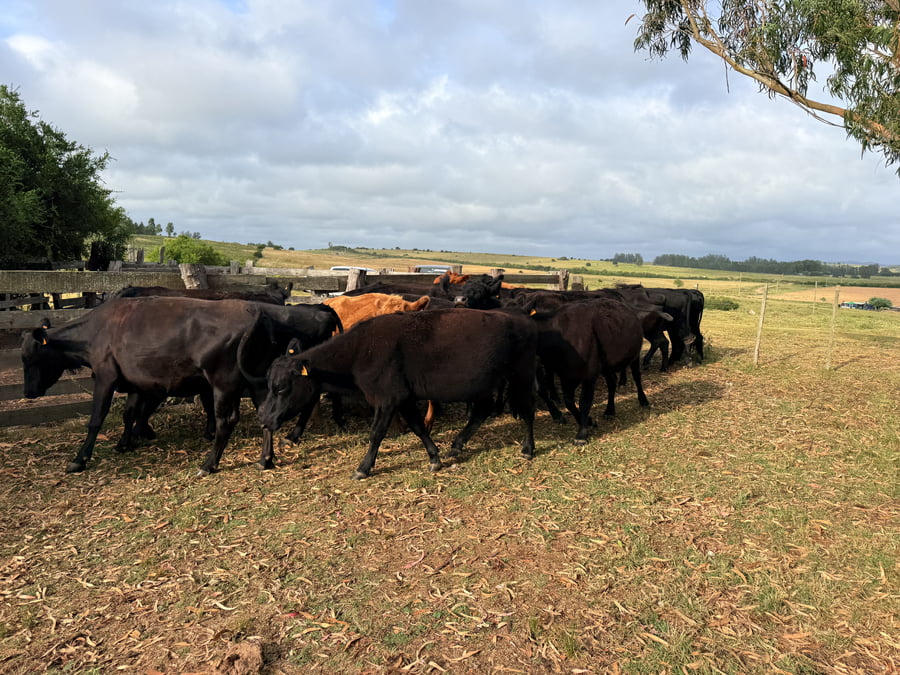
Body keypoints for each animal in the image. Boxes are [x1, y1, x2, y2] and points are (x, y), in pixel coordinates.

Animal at [255, 308, 538, 479]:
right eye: (268, 385)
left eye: (281, 388)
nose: (264, 419)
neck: (360, 352)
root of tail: (523, 320)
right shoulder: (404, 398)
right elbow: (418, 427)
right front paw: (434, 457)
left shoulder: (387, 399)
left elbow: (376, 433)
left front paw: (363, 468)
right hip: (484, 384)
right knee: (482, 411)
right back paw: (456, 445)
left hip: (522, 375)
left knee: (528, 410)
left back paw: (528, 448)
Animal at [529, 298, 649, 443]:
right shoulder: (566, 376)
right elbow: (569, 402)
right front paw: (589, 421)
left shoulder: (589, 375)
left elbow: (584, 402)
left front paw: (582, 434)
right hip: (605, 366)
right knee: (612, 382)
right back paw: (610, 410)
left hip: (634, 356)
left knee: (637, 377)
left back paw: (643, 400)